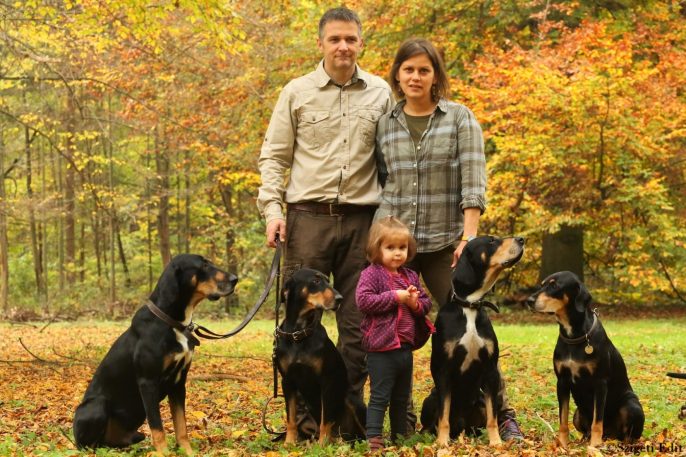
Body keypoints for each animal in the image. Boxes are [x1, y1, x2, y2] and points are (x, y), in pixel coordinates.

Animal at [73, 254, 237, 454]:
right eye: (204, 265)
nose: (235, 279)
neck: (172, 322)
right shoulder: (148, 382)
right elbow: (157, 427)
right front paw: (164, 453)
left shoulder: (178, 383)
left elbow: (181, 426)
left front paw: (187, 452)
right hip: (95, 406)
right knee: (88, 446)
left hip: (134, 434)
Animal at [274, 268, 366, 444]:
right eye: (315, 281)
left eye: (328, 280)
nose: (340, 299)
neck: (299, 334)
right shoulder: (287, 381)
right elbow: (291, 418)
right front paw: (289, 442)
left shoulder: (327, 381)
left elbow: (326, 419)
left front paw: (322, 444)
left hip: (353, 401)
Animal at [420, 235, 525, 446]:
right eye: (491, 241)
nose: (521, 239)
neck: (469, 306)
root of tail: (461, 424)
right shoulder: (443, 370)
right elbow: (443, 416)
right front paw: (442, 443)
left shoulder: (491, 371)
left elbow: (493, 418)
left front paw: (496, 443)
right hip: (430, 399)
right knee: (433, 422)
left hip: (481, 400)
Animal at [528, 271, 644, 447]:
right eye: (542, 285)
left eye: (554, 285)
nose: (528, 301)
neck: (574, 336)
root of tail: (611, 435)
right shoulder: (562, 382)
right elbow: (563, 420)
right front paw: (563, 445)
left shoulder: (600, 383)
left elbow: (597, 421)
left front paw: (594, 446)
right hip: (577, 413)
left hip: (631, 405)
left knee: (628, 435)